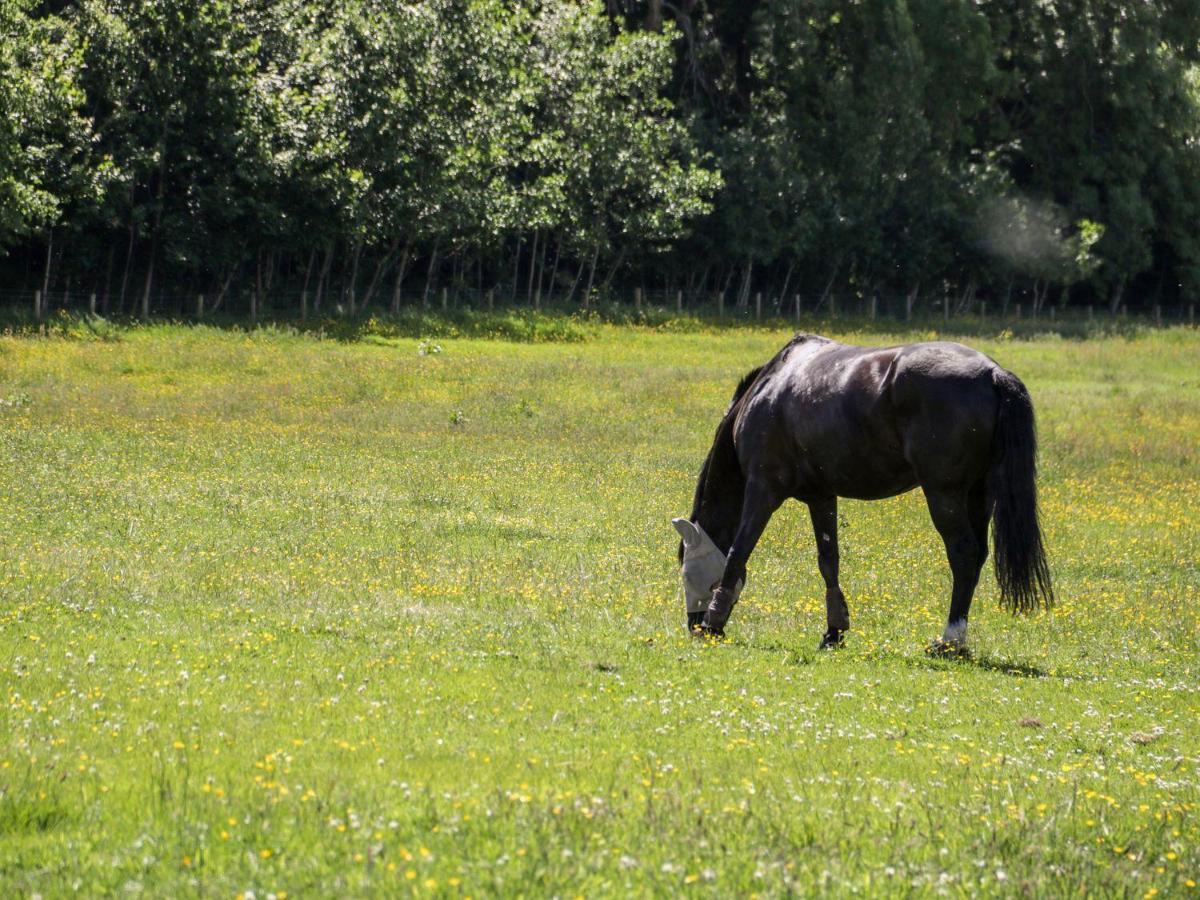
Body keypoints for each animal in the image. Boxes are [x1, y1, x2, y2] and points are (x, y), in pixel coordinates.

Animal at [676, 336, 1051, 652]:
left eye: (686, 572)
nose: (693, 625)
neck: (771, 387)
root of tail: (991, 373)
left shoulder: (762, 490)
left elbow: (738, 552)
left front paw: (715, 622)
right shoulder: (821, 497)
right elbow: (829, 561)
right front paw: (834, 631)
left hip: (944, 494)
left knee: (963, 553)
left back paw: (950, 640)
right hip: (978, 494)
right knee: (978, 555)